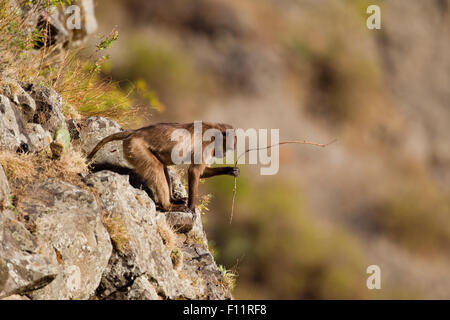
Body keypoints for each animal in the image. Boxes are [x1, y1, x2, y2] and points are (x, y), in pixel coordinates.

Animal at [85, 122, 237, 212]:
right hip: (136, 147)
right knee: (156, 168)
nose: (224, 153)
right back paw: (168, 206)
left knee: (163, 168)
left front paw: (232, 170)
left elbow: (202, 172)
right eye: (228, 144)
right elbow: (194, 171)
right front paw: (191, 207)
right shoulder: (206, 144)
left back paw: (173, 200)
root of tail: (135, 132)